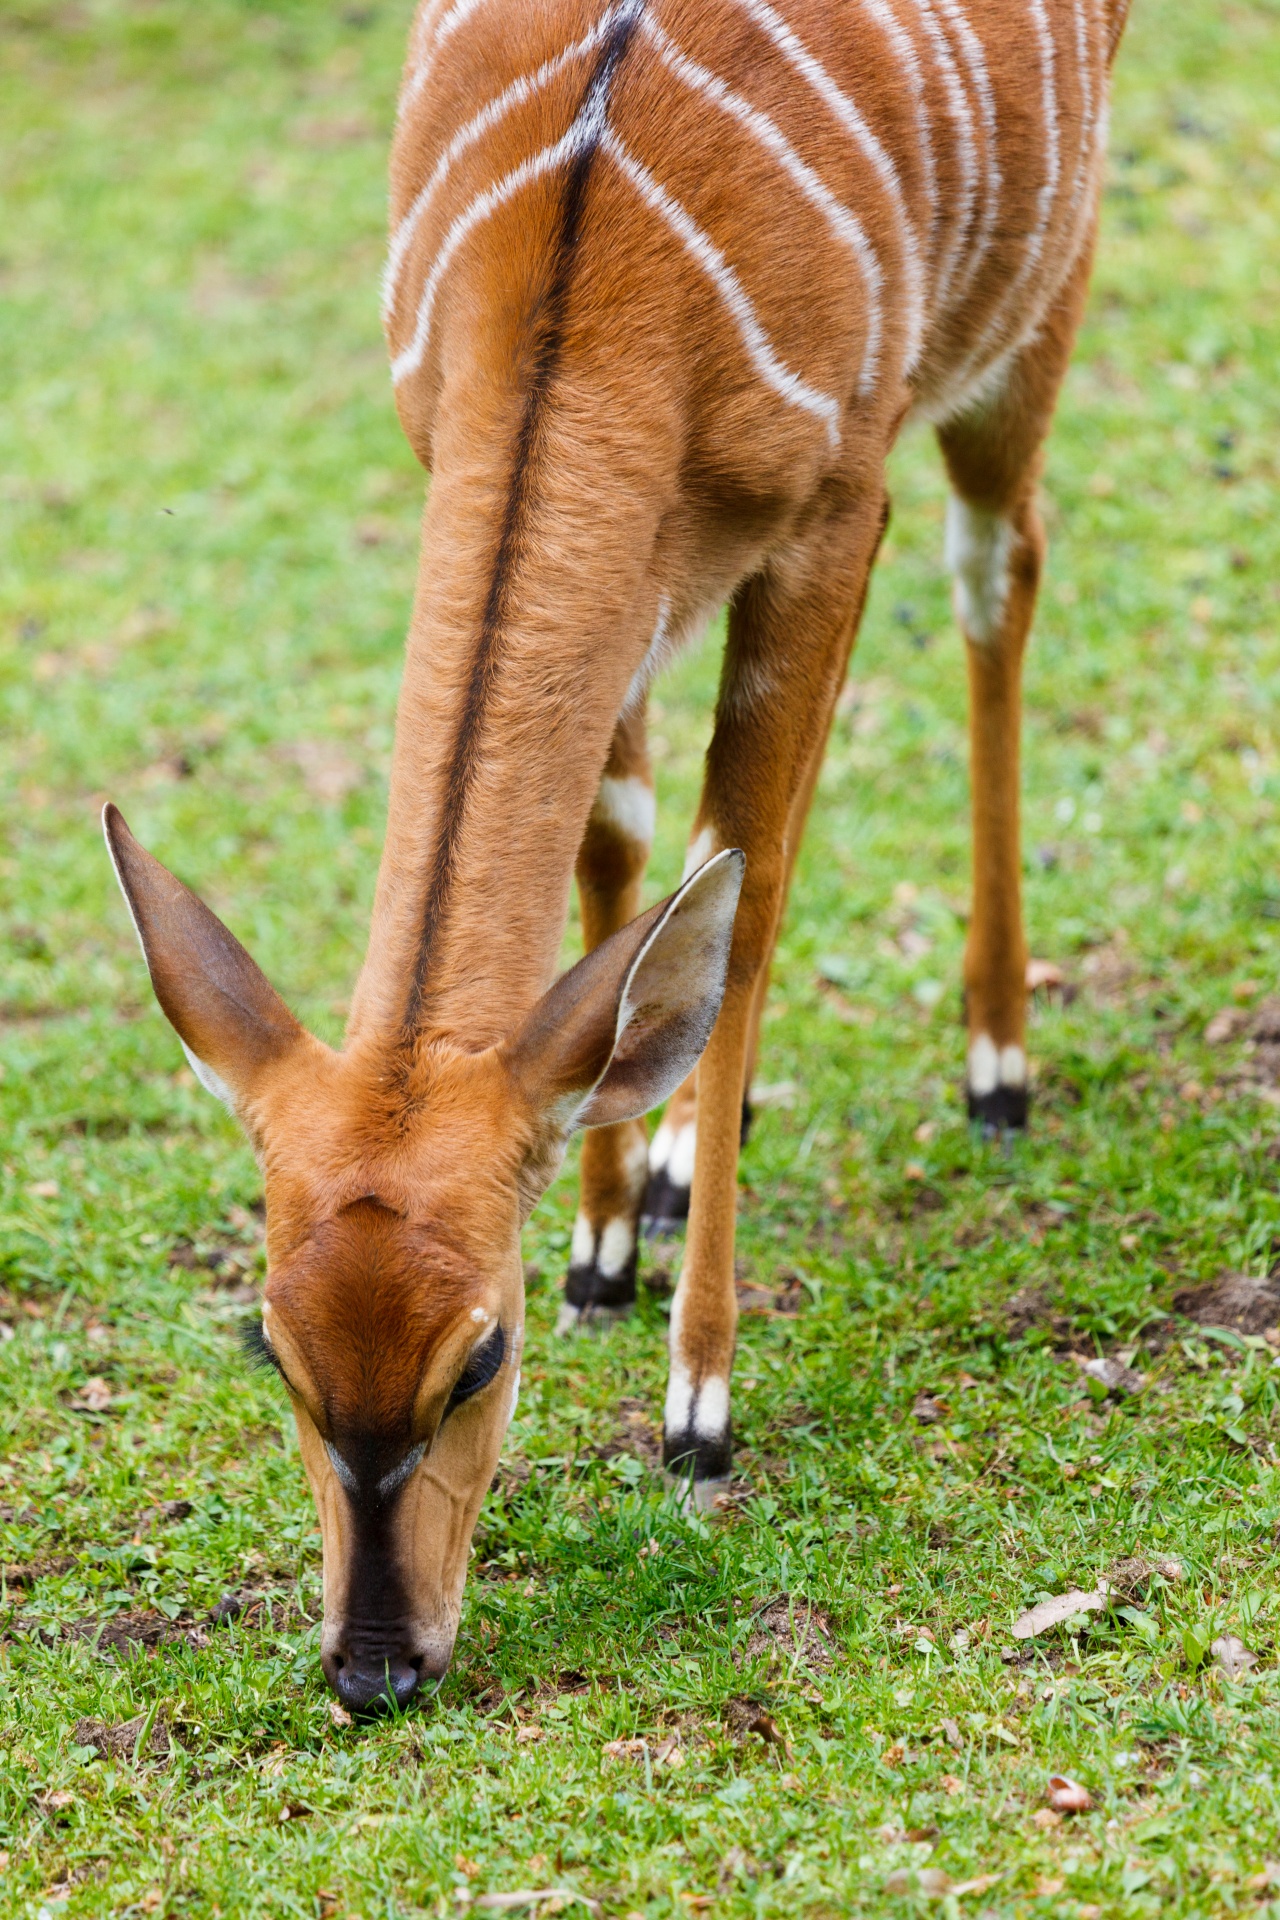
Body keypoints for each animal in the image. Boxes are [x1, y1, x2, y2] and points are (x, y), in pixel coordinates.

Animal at [107, 0, 1128, 1712]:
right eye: (276, 1352)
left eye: (481, 1359)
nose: (374, 1666)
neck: (587, 259)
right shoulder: (609, 544)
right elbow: (621, 852)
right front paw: (597, 1236)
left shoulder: (832, 508)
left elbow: (745, 887)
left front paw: (697, 1399)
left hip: (1028, 309)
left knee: (1002, 571)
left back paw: (996, 1060)